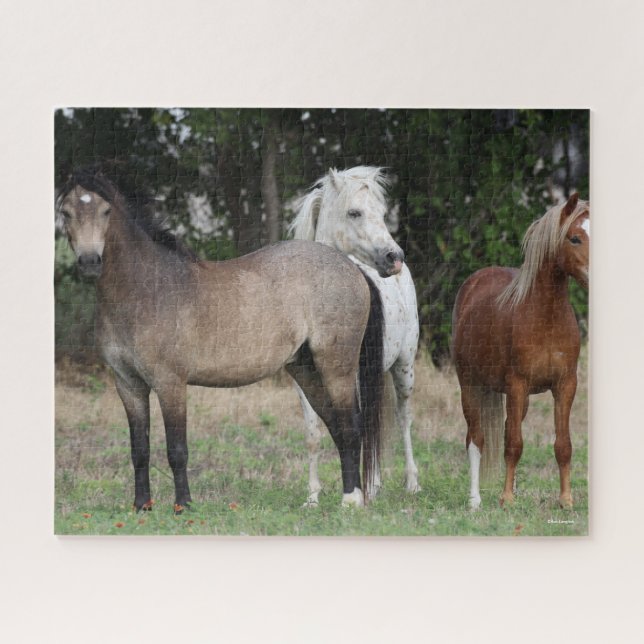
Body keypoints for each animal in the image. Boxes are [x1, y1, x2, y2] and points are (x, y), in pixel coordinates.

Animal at [57, 170, 386, 512]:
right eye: (65, 212)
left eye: (106, 211)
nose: (90, 261)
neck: (146, 290)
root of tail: (353, 268)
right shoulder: (128, 385)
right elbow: (139, 450)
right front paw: (141, 507)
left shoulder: (170, 383)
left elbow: (177, 449)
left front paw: (183, 506)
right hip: (306, 370)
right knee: (336, 427)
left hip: (336, 367)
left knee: (350, 427)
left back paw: (351, 501)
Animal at [289, 166, 420, 504]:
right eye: (354, 212)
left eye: (383, 213)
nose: (394, 257)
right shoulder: (304, 382)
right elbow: (314, 432)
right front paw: (313, 495)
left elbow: (355, 425)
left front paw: (355, 493)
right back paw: (373, 483)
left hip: (404, 368)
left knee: (403, 418)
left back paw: (410, 483)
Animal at [452, 192, 589, 510]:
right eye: (575, 238)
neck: (546, 319)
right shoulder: (516, 384)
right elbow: (514, 444)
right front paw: (507, 499)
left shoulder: (565, 385)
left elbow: (563, 445)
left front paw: (566, 500)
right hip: (470, 386)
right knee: (475, 439)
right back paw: (475, 500)